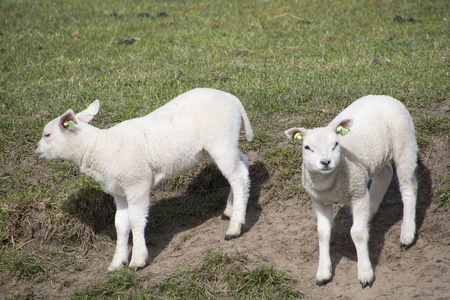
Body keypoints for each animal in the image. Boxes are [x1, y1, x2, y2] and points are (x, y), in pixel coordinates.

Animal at [35, 87, 253, 272]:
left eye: (47, 134)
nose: (36, 150)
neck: (100, 147)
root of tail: (231, 98)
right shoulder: (119, 192)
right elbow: (120, 225)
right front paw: (117, 262)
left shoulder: (137, 183)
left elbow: (135, 221)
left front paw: (138, 260)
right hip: (222, 145)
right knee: (242, 164)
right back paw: (230, 210)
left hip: (221, 140)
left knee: (239, 178)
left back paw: (235, 226)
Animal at [284, 95, 418, 288]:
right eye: (307, 147)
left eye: (336, 144)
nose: (326, 162)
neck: (330, 182)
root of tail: (383, 96)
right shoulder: (319, 200)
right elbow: (323, 233)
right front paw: (323, 271)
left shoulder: (358, 194)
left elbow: (358, 234)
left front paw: (365, 273)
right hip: (375, 159)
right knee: (385, 173)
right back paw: (370, 213)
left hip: (404, 141)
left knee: (408, 187)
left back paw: (407, 232)